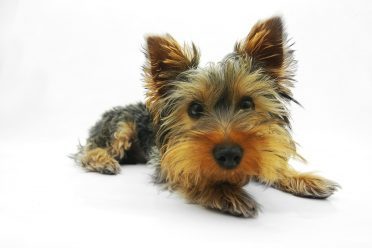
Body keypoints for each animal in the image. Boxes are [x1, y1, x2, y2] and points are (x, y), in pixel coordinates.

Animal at [73, 16, 340, 217]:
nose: (229, 154)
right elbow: (190, 173)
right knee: (89, 149)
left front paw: (304, 178)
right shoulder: (168, 161)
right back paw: (103, 161)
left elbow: (273, 163)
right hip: (120, 126)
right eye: (194, 109)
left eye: (247, 104)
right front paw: (225, 193)